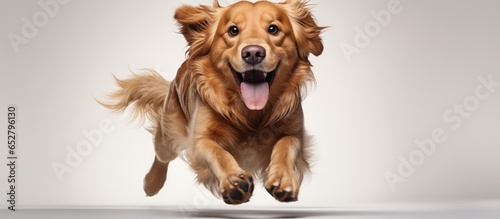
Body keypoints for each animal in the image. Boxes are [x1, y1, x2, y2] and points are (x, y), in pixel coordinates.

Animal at [99, 0, 324, 205]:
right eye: (233, 30)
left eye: (273, 29)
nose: (253, 53)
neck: (250, 114)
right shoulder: (199, 139)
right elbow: (218, 152)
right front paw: (234, 181)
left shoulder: (294, 132)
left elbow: (285, 145)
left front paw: (283, 179)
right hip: (169, 135)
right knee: (161, 155)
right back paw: (152, 183)